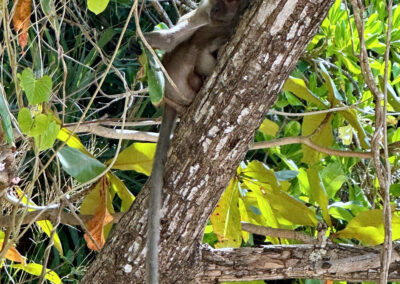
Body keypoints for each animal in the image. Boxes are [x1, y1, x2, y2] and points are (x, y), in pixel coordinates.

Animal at [141, 1, 247, 282]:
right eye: (219, 5)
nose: (218, 12)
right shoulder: (202, 15)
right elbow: (169, 39)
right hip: (183, 84)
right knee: (192, 49)